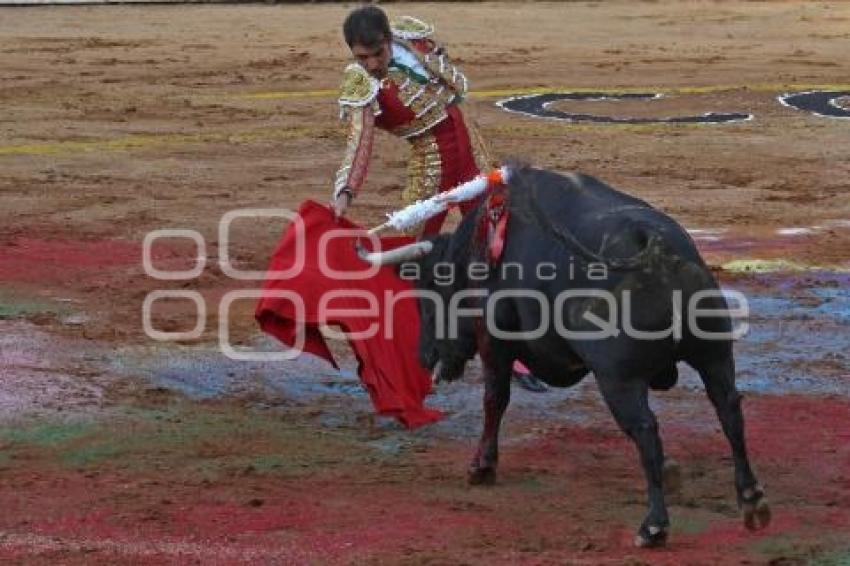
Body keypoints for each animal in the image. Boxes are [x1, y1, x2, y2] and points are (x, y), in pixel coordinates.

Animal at [356, 166, 768, 548]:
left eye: (426, 293)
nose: (423, 357)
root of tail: (655, 247)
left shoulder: (495, 340)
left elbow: (494, 399)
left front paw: (481, 467)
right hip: (714, 356)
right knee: (729, 410)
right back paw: (750, 500)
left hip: (618, 379)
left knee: (646, 430)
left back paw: (653, 526)